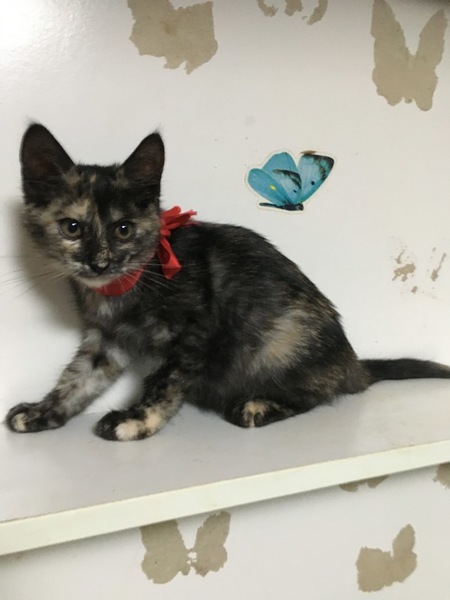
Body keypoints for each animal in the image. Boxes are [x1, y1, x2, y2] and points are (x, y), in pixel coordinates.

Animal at [5, 124, 450, 441]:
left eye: (123, 229)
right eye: (72, 227)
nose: (99, 262)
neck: (125, 287)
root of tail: (351, 362)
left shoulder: (193, 332)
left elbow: (164, 382)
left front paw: (137, 419)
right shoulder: (105, 340)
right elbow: (78, 379)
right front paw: (44, 412)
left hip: (284, 336)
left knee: (323, 391)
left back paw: (257, 405)